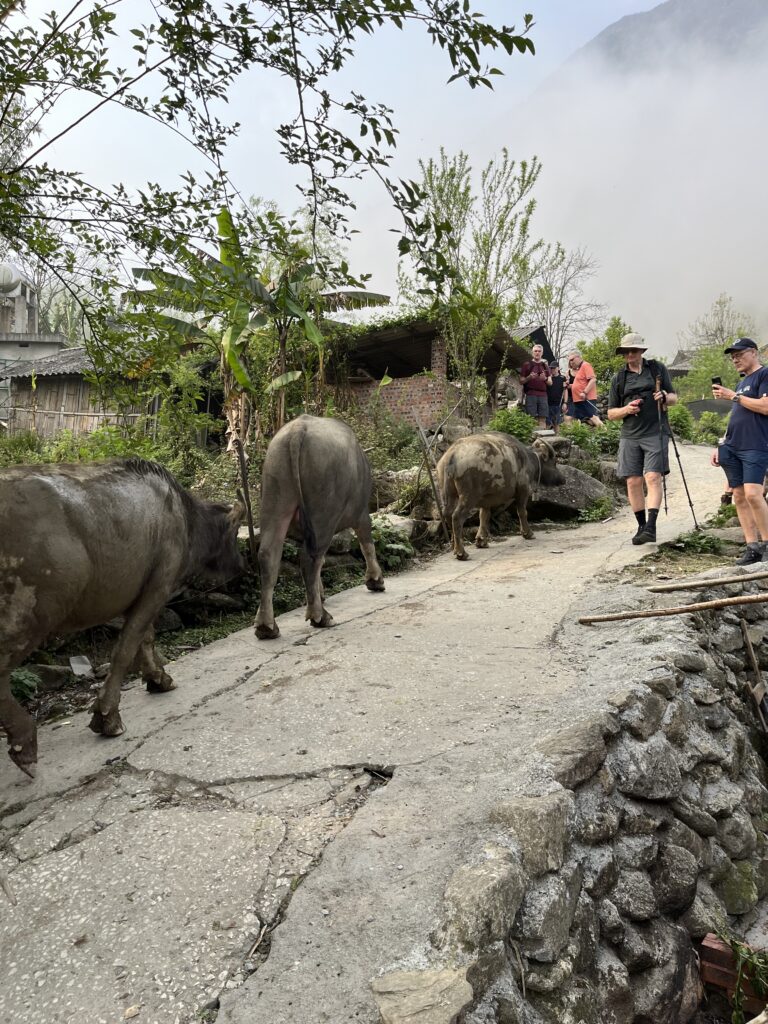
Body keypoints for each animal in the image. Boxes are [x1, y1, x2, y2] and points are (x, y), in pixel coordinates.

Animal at [0, 458, 244, 777]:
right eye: (235, 532)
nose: (241, 565)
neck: (185, 518)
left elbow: (146, 638)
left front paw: (158, 679)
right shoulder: (159, 586)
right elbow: (126, 648)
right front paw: (108, 716)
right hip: (30, 614)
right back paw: (24, 741)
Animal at [255, 415, 385, 640]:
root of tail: (297, 430)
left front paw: (319, 592)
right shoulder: (361, 514)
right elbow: (367, 544)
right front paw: (375, 580)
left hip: (275, 497)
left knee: (268, 556)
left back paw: (266, 626)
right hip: (323, 513)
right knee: (310, 558)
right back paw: (320, 616)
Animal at [436, 432, 564, 560]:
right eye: (554, 462)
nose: (562, 479)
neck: (528, 459)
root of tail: (452, 454)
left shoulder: (486, 500)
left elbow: (484, 516)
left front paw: (481, 541)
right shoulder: (523, 491)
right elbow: (522, 512)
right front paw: (528, 533)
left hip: (448, 494)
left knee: (447, 514)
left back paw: (454, 547)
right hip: (469, 496)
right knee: (456, 517)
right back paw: (461, 553)